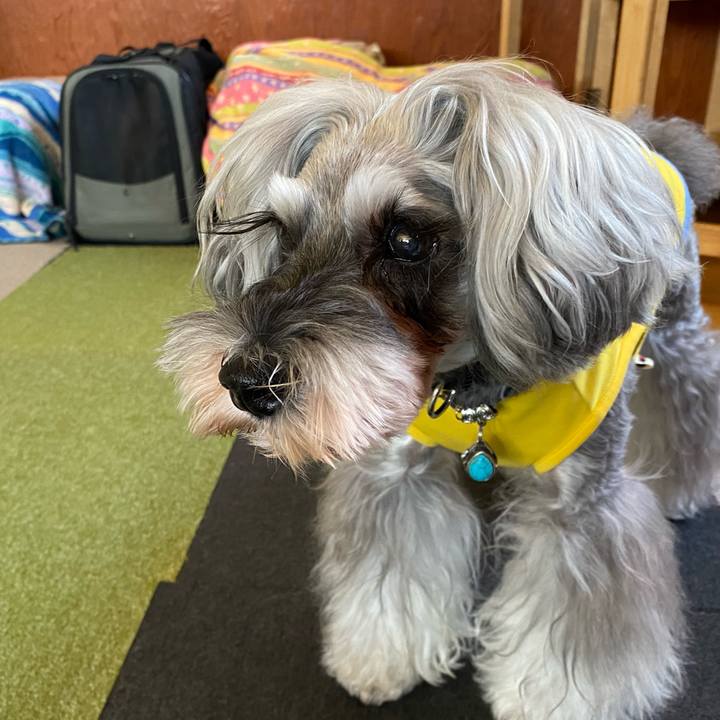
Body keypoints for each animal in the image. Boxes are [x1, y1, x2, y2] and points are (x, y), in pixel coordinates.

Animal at [160, 61, 720, 719]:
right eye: (284, 233)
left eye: (406, 240)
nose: (245, 383)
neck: (474, 386)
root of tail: (649, 144)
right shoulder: (398, 472)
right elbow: (391, 570)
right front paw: (382, 655)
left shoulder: (579, 510)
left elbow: (576, 622)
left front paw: (552, 698)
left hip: (677, 325)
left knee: (690, 390)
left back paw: (683, 483)